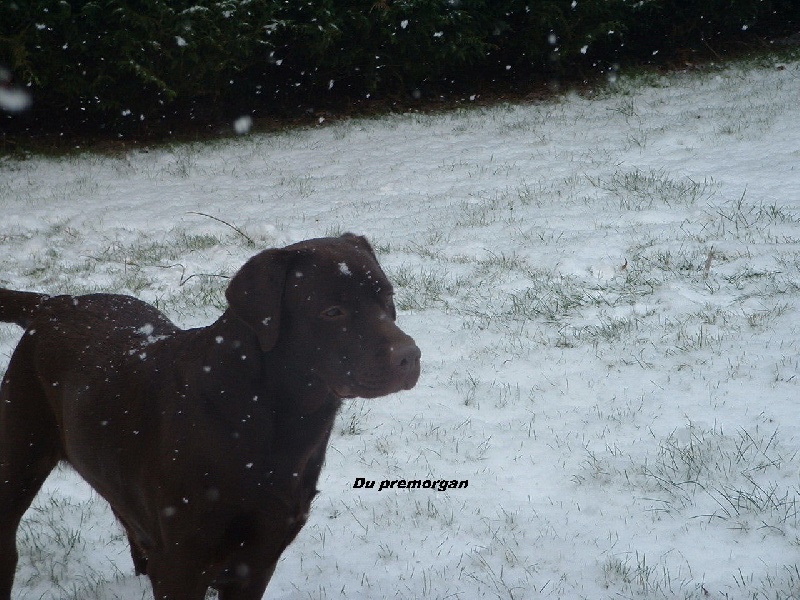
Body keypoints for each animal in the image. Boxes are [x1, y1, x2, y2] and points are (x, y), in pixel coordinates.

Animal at [0, 233, 422, 600]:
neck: (269, 421)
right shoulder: (181, 565)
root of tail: (53, 303)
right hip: (17, 460)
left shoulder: (257, 561)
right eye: (332, 311)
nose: (410, 356)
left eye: (388, 297)